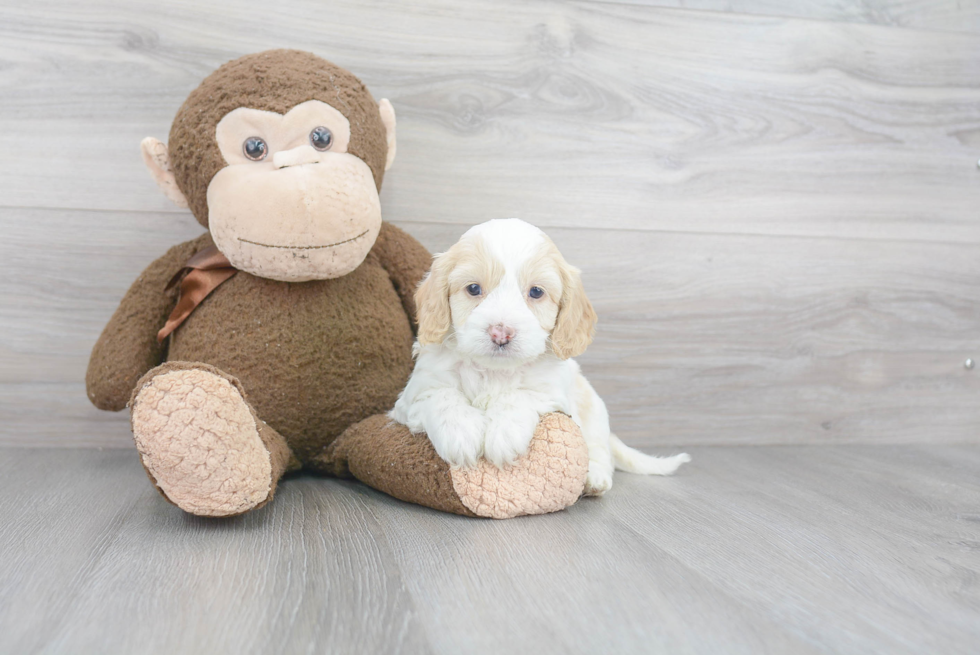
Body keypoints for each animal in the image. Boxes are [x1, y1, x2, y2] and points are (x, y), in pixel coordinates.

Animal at [390, 218, 688, 494]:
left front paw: (504, 433)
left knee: (599, 449)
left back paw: (595, 478)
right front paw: (460, 433)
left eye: (536, 292)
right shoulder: (412, 398)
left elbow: (520, 395)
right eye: (473, 289)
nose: (501, 333)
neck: (494, 371)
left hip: (595, 411)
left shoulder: (552, 393)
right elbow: (442, 396)